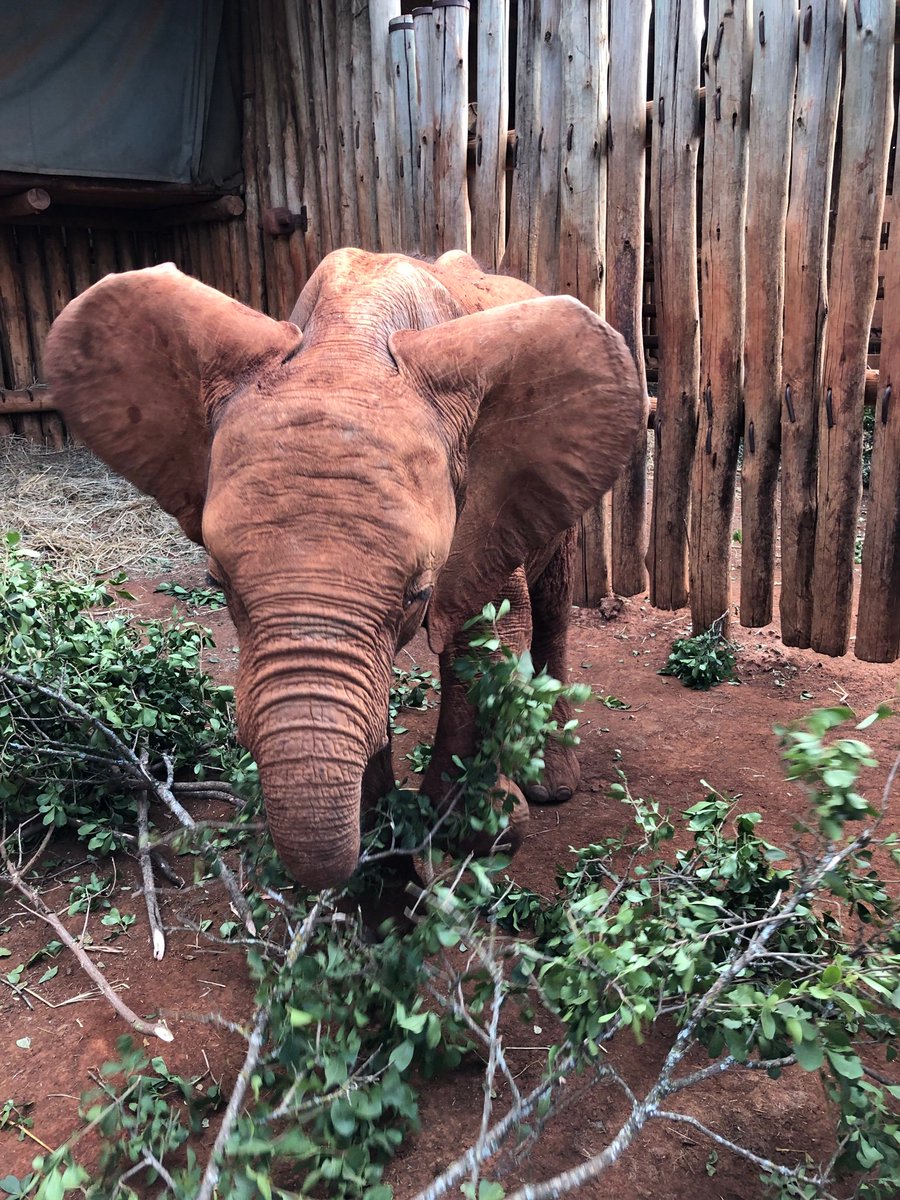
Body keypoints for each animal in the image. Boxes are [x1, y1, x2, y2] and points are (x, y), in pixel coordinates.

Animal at [44, 248, 642, 891]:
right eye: (219, 586)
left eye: (416, 595)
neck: (349, 339)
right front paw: (381, 840)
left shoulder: (483, 505)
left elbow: (490, 632)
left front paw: (476, 833)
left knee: (552, 608)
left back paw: (553, 784)